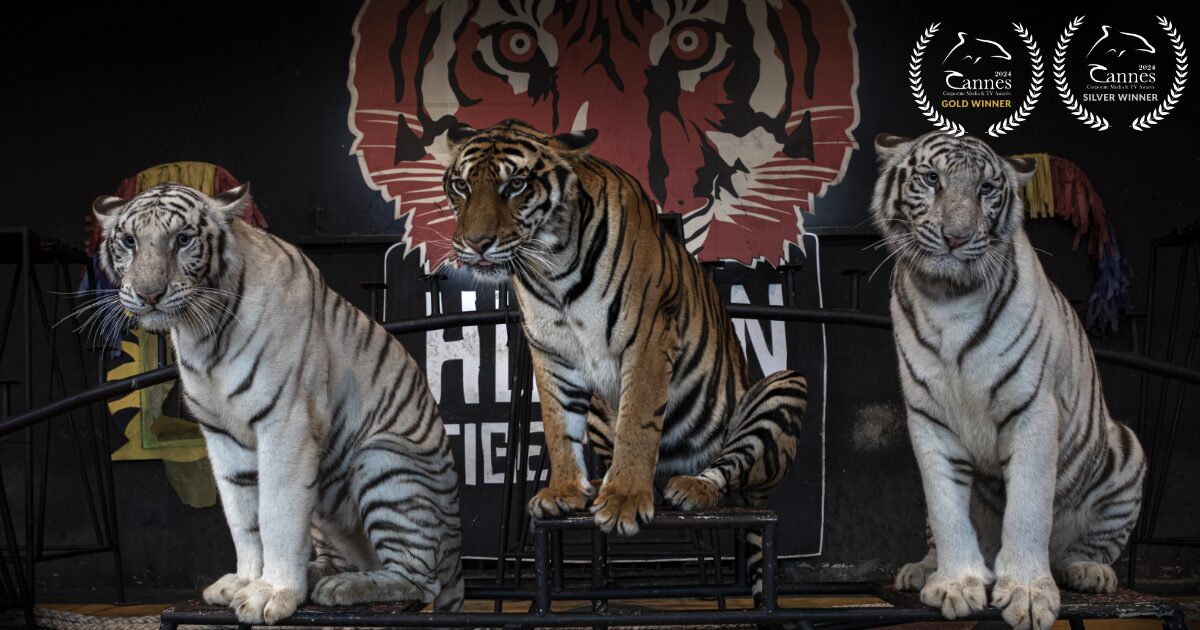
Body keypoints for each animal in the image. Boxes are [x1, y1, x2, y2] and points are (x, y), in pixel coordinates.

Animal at [87, 182, 463, 624]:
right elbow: (243, 519)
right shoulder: (222, 436)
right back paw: (319, 574)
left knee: (419, 578)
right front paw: (246, 581)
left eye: (182, 239)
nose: (149, 295)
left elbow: (276, 514)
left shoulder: (287, 425)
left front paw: (273, 592)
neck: (203, 334)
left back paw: (341, 587)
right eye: (130, 241)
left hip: (384, 462)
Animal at [441, 119, 806, 600]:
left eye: (515, 185)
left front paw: (625, 501)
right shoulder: (551, 351)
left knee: (731, 475)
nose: (476, 244)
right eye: (461, 186)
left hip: (783, 387)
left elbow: (637, 424)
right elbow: (558, 429)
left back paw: (690, 488)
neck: (550, 267)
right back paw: (600, 482)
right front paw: (565, 490)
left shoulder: (647, 337)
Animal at [873, 129, 1142, 628]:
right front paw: (955, 583)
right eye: (932, 179)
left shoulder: (1033, 408)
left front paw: (1028, 594)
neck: (946, 297)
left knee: (1081, 548)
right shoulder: (928, 417)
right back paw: (922, 569)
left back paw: (1089, 571)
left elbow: (1028, 508)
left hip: (1125, 450)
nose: (956, 237)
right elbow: (946, 507)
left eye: (986, 189)